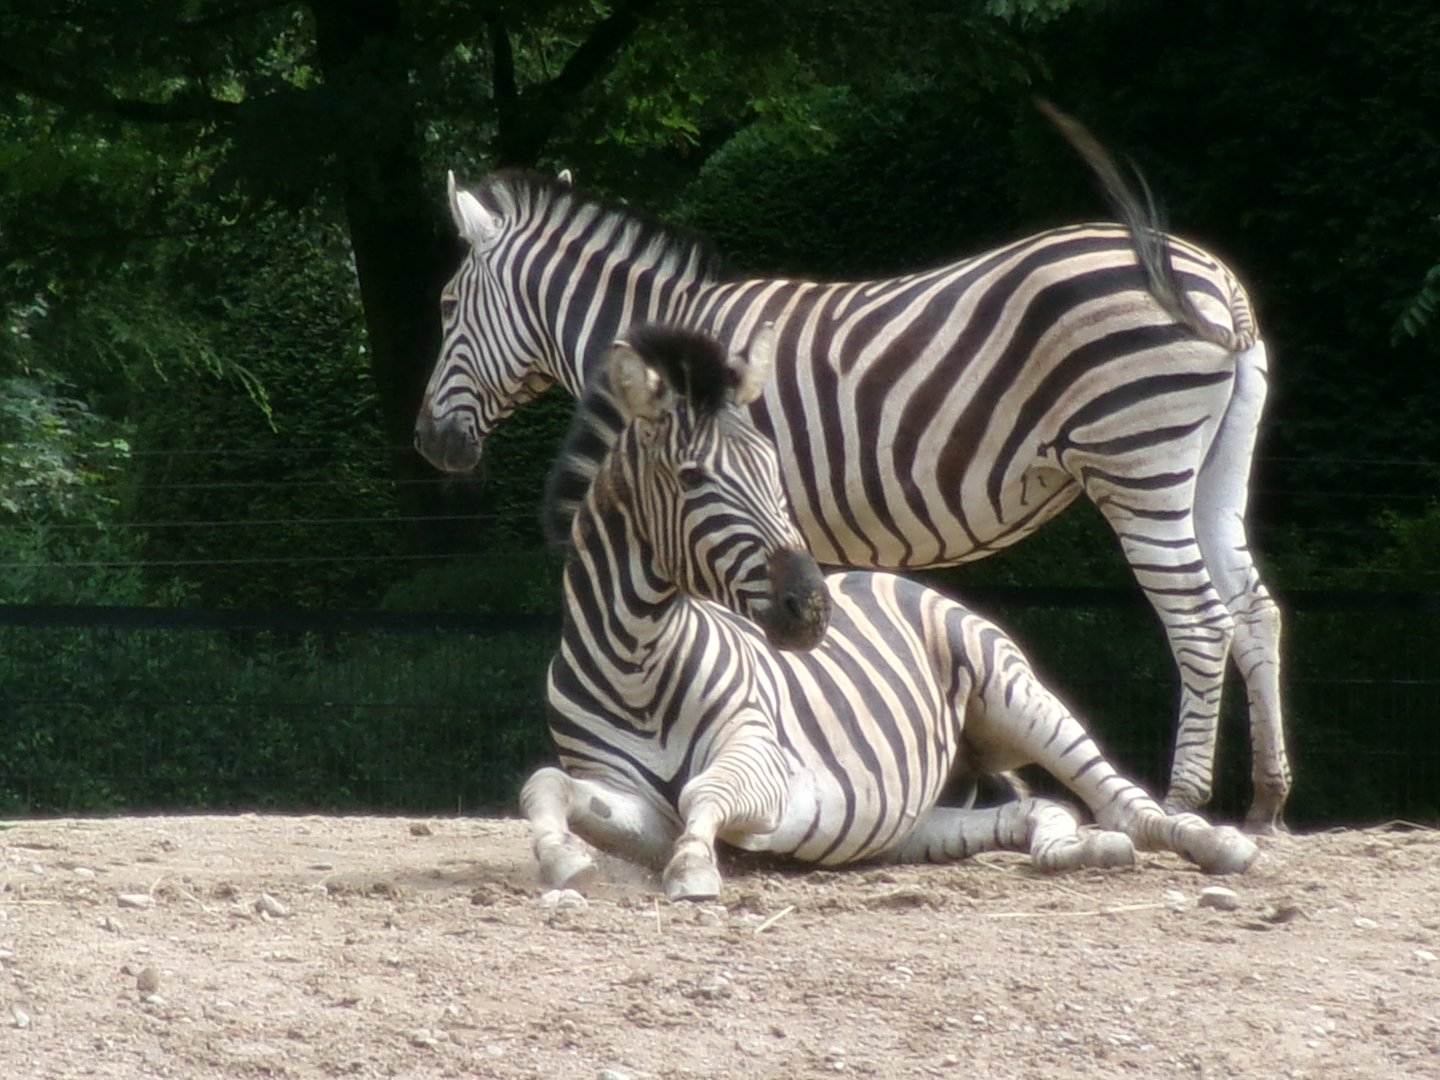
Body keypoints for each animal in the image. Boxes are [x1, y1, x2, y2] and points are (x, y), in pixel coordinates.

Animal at [415, 111, 1289, 832]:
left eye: (448, 304)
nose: (431, 443)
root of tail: (1215, 279)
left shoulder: (763, 515)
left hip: (1138, 459)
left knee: (1199, 621)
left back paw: (1182, 801)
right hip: (1210, 469)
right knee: (1256, 609)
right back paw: (1266, 802)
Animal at [523, 321, 1258, 901]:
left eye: (774, 469)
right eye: (693, 478)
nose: (812, 607)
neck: (635, 659)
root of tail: (886, 575)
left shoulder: (766, 757)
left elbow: (702, 791)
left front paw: (695, 868)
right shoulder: (631, 798)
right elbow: (548, 782)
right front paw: (564, 857)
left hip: (1017, 694)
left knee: (1122, 803)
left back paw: (1217, 844)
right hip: (916, 817)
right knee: (1038, 814)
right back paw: (1079, 850)